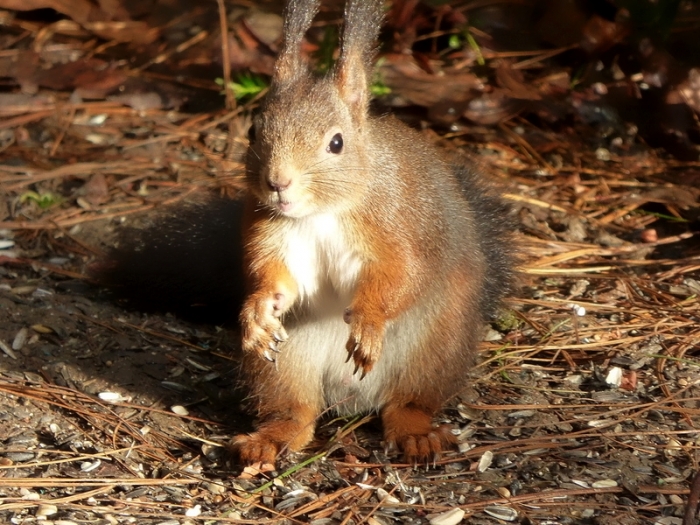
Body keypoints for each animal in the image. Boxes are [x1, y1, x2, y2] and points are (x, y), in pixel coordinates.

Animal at [95, 0, 515, 465]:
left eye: (336, 143)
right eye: (253, 131)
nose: (278, 182)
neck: (321, 212)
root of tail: (352, 399)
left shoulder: (399, 224)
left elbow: (402, 275)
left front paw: (368, 321)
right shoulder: (270, 233)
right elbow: (277, 279)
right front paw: (257, 311)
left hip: (436, 347)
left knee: (408, 404)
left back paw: (416, 434)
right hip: (285, 365)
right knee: (297, 412)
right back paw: (268, 439)